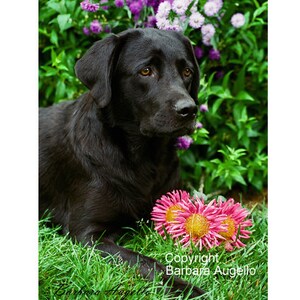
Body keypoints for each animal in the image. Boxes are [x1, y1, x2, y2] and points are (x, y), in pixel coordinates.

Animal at [39, 28, 204, 298]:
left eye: (187, 72)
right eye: (146, 71)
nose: (188, 109)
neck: (144, 156)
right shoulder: (87, 234)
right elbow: (145, 261)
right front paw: (185, 288)